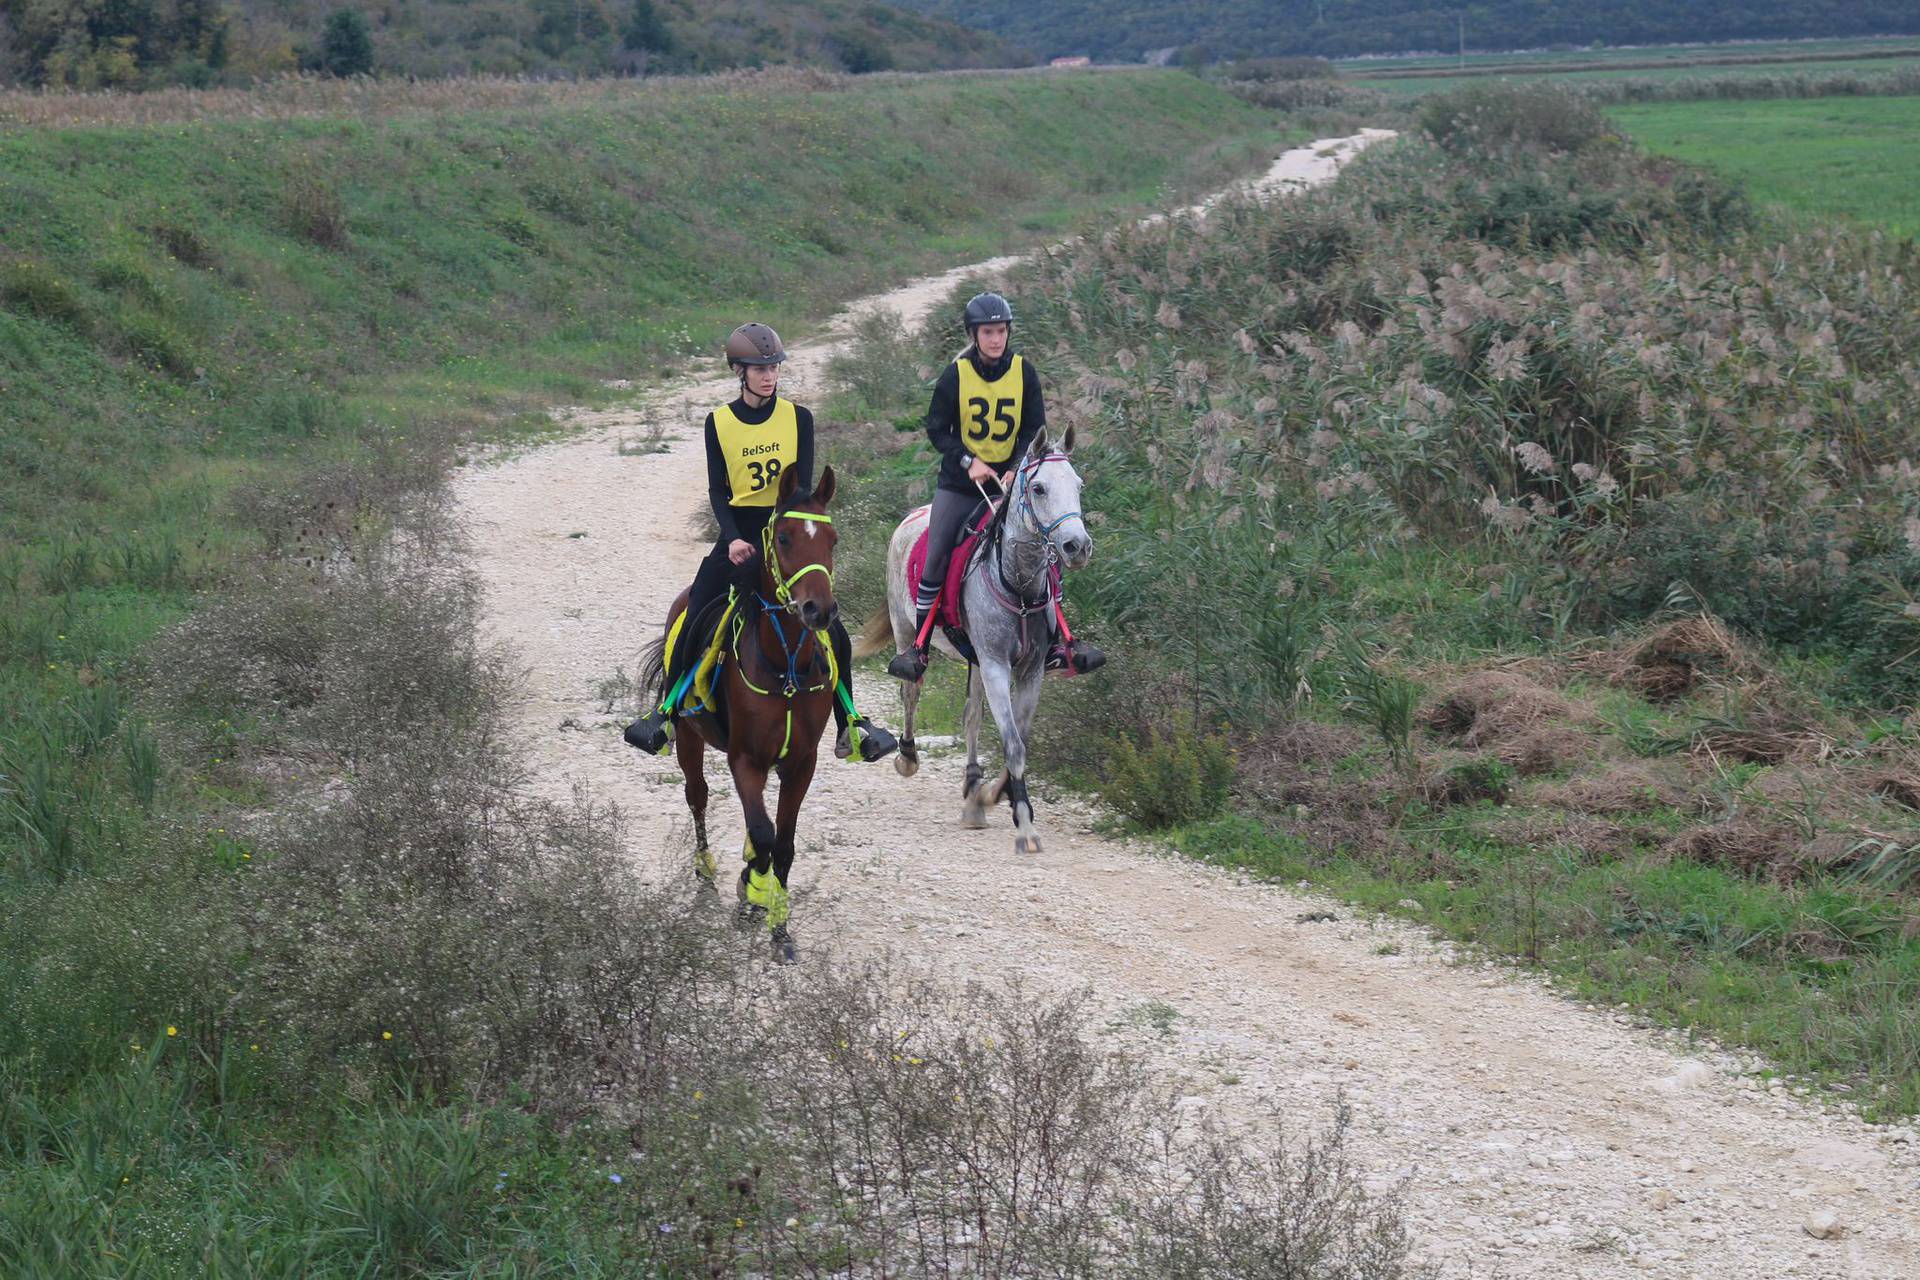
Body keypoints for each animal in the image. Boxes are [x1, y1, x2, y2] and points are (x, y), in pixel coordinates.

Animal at [637, 462, 840, 959]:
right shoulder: (744, 759)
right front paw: (753, 894)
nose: (819, 611)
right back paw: (707, 876)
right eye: (783, 537)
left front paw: (778, 928)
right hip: (689, 740)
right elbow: (764, 834)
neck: (786, 667)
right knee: (697, 796)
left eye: (832, 540)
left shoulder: (800, 763)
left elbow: (782, 843)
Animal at [860, 426, 1090, 855]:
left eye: (1078, 485)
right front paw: (1025, 827)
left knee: (970, 717)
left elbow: (1018, 736)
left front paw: (992, 794)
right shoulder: (997, 665)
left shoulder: (1029, 670)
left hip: (975, 660)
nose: (1077, 547)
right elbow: (1013, 743)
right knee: (911, 691)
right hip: (906, 631)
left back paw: (972, 795)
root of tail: (912, 516)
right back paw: (908, 756)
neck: (1018, 588)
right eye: (1039, 488)